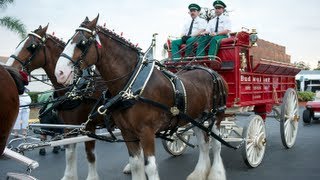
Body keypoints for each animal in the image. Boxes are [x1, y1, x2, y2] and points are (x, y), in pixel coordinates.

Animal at [54, 15, 228, 180]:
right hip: (197, 118)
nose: (59, 73)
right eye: (68, 41)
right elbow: (136, 165)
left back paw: (216, 173)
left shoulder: (147, 132)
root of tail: (212, 71)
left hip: (216, 117)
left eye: (82, 43)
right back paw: (199, 173)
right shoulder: (127, 133)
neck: (132, 87)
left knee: (217, 145)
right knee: (204, 144)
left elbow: (150, 167)